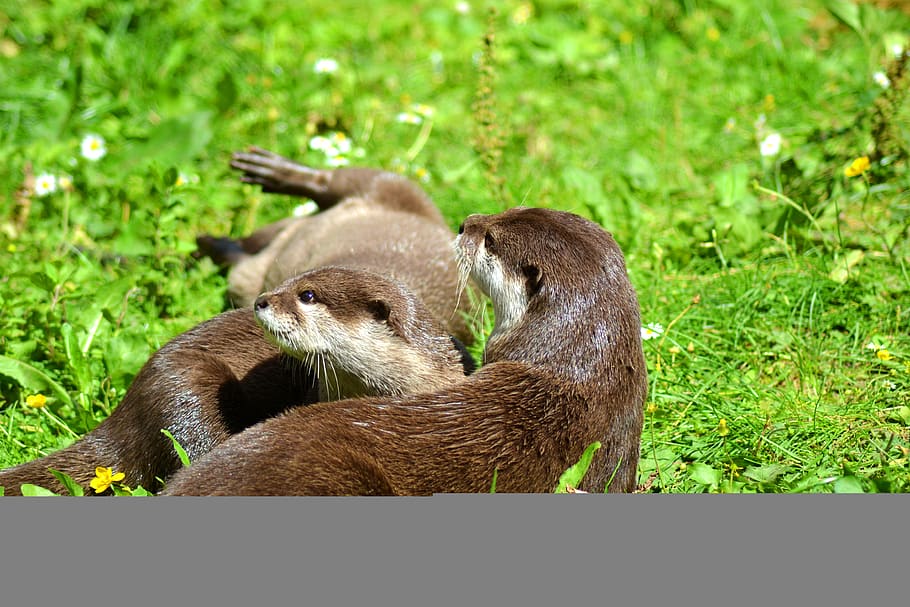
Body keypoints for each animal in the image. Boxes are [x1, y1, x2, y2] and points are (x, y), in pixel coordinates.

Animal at [0, 268, 473, 496]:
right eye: (289, 281)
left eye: (307, 295)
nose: (261, 300)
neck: (411, 380)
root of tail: (124, 414)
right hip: (187, 386)